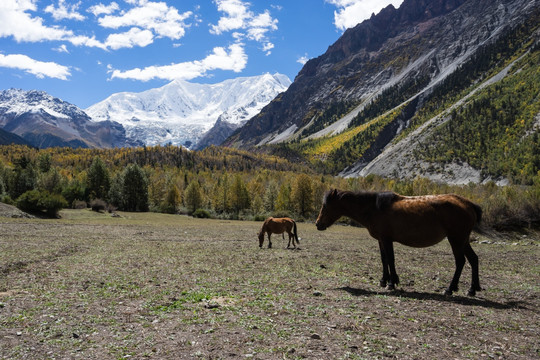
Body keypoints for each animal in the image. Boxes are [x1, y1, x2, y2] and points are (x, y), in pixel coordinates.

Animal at [314, 188, 484, 296]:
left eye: (326, 206)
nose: (318, 224)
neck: (374, 208)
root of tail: (469, 204)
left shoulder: (386, 239)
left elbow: (390, 259)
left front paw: (392, 282)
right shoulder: (381, 240)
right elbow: (384, 259)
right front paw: (384, 280)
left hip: (456, 239)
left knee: (460, 261)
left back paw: (450, 289)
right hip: (463, 240)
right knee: (473, 259)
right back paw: (472, 289)